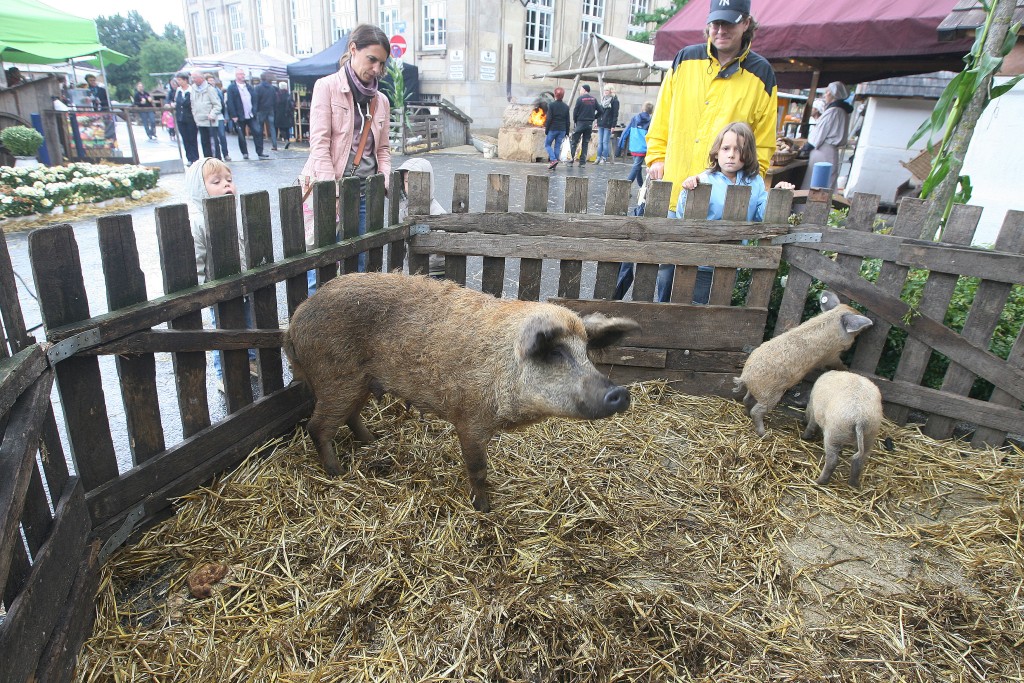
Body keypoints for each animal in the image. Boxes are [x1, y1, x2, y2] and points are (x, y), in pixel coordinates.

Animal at [283, 272, 640, 512]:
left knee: (349, 416)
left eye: (587, 352)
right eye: (554, 352)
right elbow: (477, 468)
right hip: (336, 379)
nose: (620, 393)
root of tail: (295, 321)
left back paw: (373, 441)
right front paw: (484, 508)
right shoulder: (469, 418)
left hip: (358, 382)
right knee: (317, 426)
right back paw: (338, 473)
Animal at [734, 291, 873, 436]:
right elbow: (836, 362)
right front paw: (846, 368)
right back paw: (765, 435)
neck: (834, 321)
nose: (870, 324)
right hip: (770, 395)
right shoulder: (831, 355)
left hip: (756, 391)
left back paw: (747, 414)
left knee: (746, 400)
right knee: (757, 411)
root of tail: (745, 377)